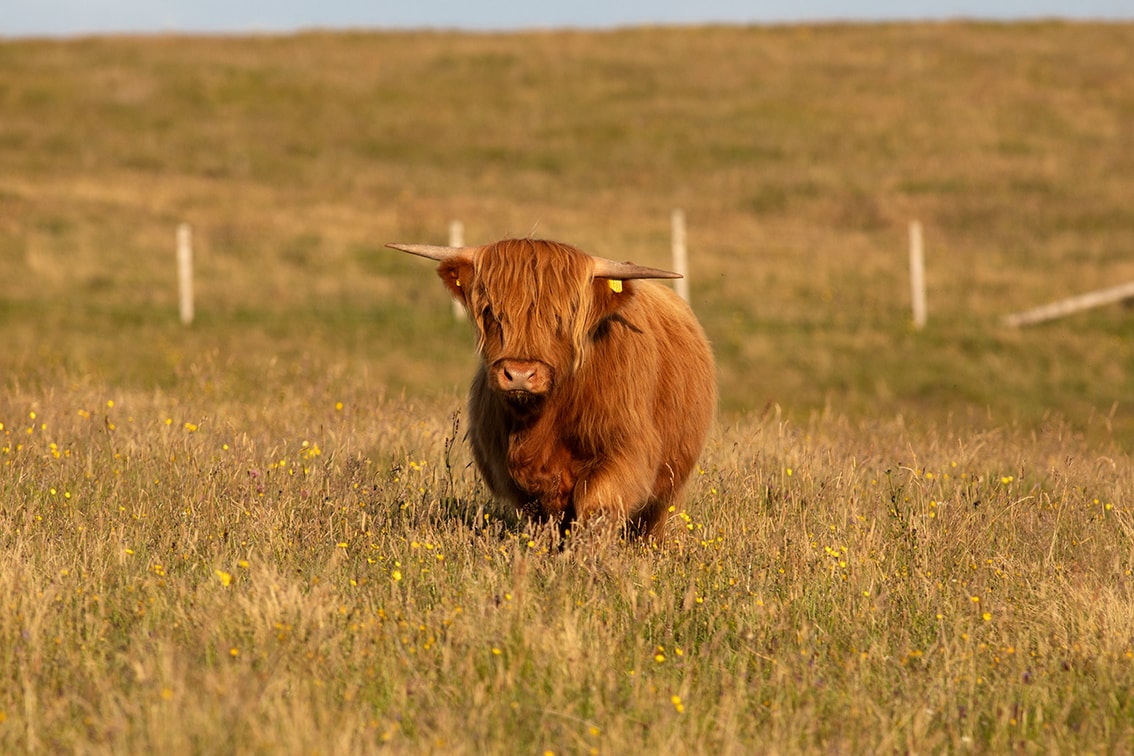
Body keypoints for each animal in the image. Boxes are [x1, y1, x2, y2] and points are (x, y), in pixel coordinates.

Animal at [385, 236, 712, 537]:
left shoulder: (624, 454)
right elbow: (544, 519)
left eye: (561, 317)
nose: (519, 373)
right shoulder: (511, 471)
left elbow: (597, 510)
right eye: (491, 312)